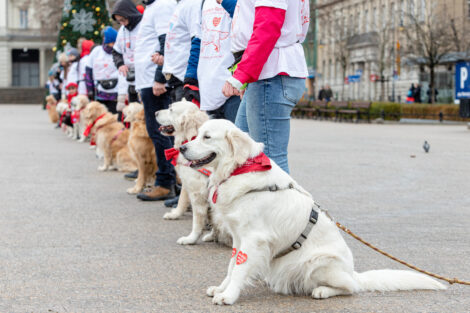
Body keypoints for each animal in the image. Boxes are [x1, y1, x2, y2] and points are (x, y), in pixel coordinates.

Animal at [156, 99, 226, 244]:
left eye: (171, 109)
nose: (155, 113)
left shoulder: (197, 192)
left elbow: (197, 220)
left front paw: (191, 238)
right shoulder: (187, 182)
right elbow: (182, 200)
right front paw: (175, 214)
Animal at [180, 118, 444, 304]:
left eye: (207, 137)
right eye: (197, 134)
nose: (182, 148)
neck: (241, 168)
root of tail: (354, 272)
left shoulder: (254, 239)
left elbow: (240, 269)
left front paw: (228, 296)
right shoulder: (238, 237)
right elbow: (232, 266)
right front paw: (221, 288)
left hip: (319, 262)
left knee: (351, 287)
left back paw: (323, 291)